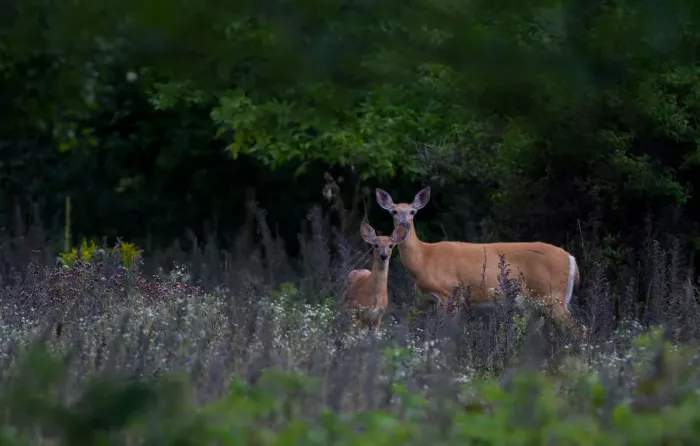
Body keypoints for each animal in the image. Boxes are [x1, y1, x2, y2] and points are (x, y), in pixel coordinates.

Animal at [375, 187, 586, 335]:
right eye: (394, 211)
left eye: (412, 211)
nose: (404, 224)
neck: (423, 259)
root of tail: (571, 259)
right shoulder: (427, 301)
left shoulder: (450, 294)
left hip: (553, 295)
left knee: (579, 329)